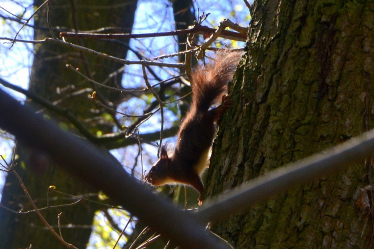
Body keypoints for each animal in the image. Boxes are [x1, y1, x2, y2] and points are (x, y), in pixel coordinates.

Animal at [145, 52, 241, 204]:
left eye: (153, 169)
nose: (146, 178)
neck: (172, 167)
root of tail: (198, 111)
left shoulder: (187, 173)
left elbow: (198, 184)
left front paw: (201, 197)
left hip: (205, 121)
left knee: (213, 113)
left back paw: (223, 105)